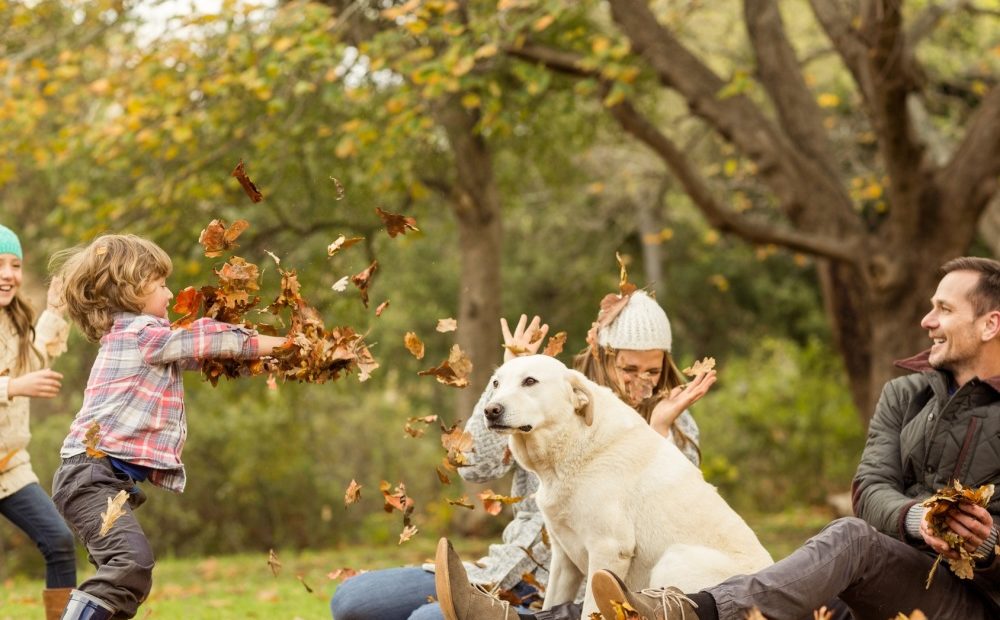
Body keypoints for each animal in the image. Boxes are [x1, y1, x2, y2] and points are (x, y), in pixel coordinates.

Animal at [484, 356, 772, 616]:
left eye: (530, 381)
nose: (490, 410)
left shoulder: (609, 548)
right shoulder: (563, 559)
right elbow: (551, 603)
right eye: (496, 383)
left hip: (674, 559)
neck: (573, 446)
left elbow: (591, 610)